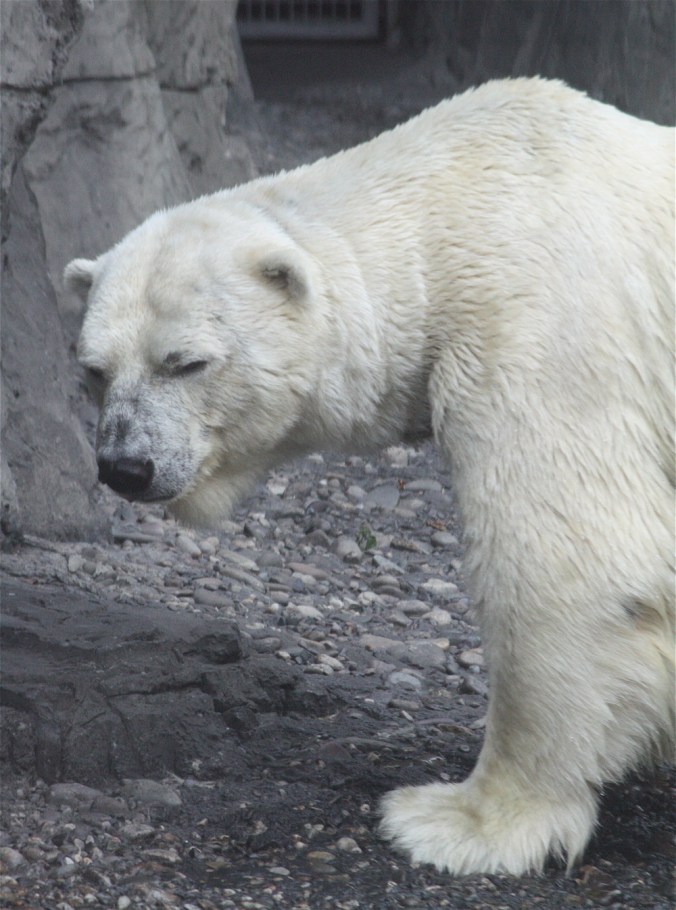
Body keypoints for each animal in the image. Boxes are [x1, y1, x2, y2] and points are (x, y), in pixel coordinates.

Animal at [64, 78, 674, 876]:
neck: (454, 197)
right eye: (94, 371)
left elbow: (564, 560)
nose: (126, 467)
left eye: (186, 362)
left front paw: (464, 821)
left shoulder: (542, 322)